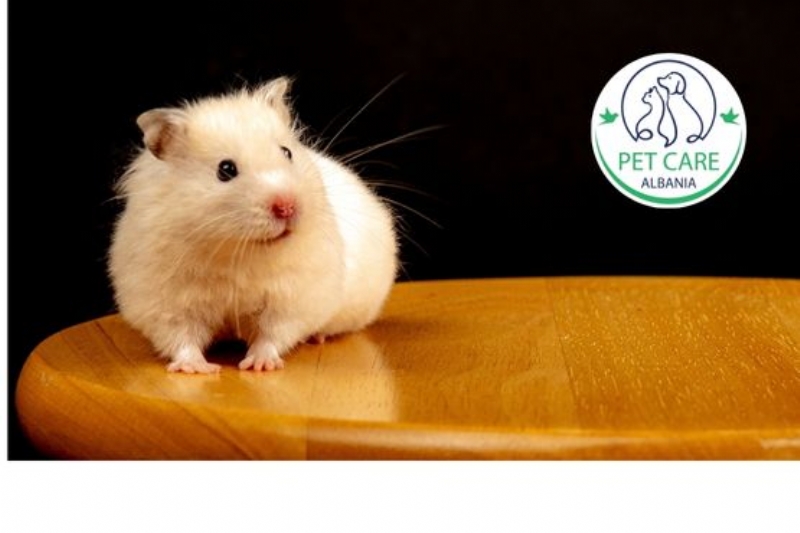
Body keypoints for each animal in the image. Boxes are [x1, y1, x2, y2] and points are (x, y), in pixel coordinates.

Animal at [108, 78, 398, 373]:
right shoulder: (166, 302)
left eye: (287, 152)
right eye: (225, 170)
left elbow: (272, 334)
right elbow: (181, 338)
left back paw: (317, 337)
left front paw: (259, 365)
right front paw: (198, 368)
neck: (237, 250)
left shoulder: (291, 298)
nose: (287, 207)